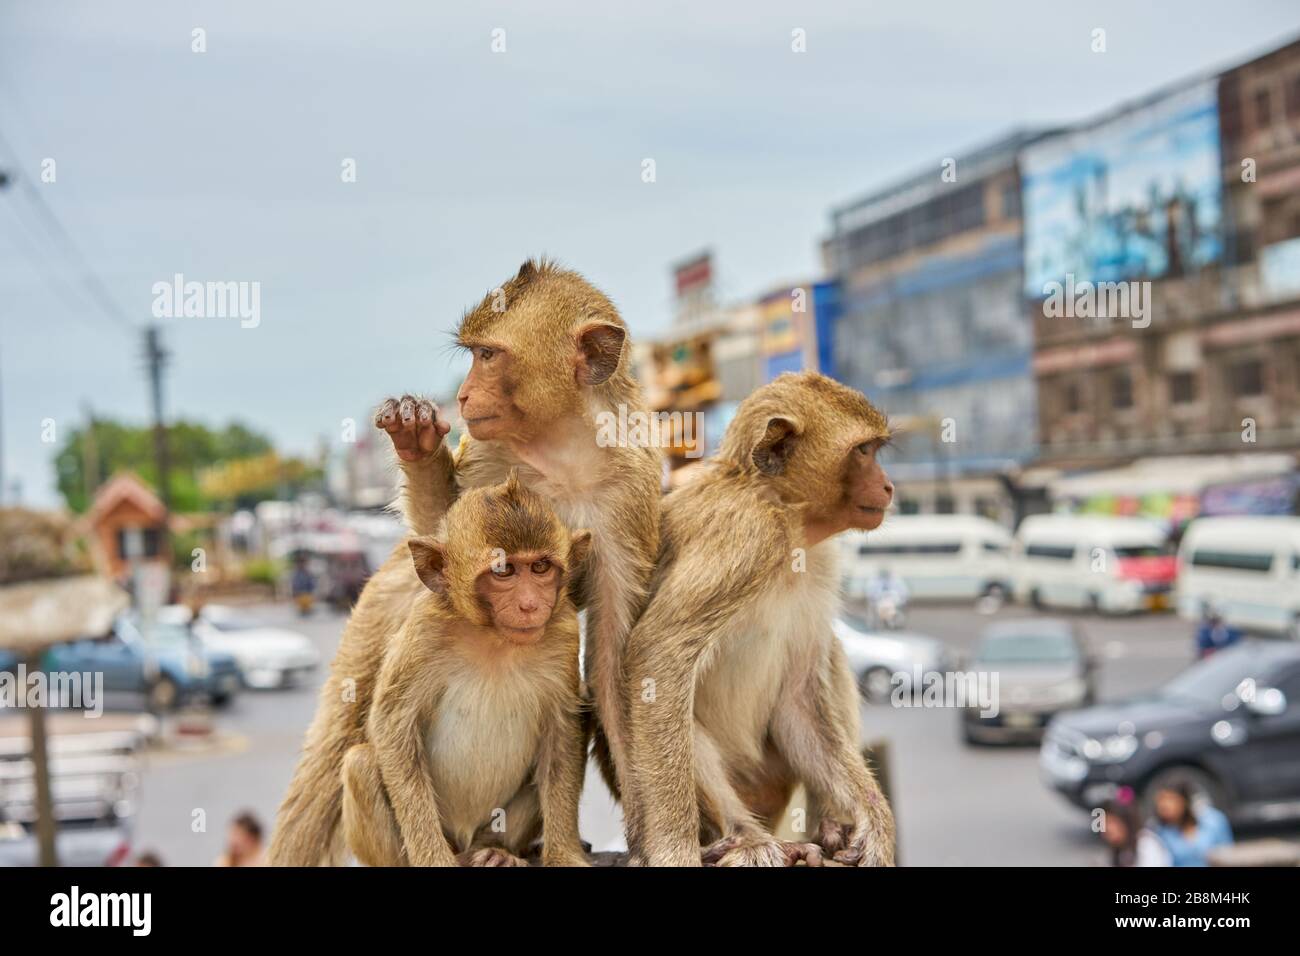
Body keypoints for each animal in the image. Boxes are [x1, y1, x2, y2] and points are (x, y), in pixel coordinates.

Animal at [340, 474, 592, 867]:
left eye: (540, 568)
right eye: (503, 571)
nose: (530, 605)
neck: (494, 639)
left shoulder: (563, 631)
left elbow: (563, 729)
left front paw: (564, 853)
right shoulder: (425, 630)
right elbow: (393, 724)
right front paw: (432, 859)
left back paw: (497, 852)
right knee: (361, 763)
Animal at [620, 371, 897, 867]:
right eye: (863, 452)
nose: (888, 487)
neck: (781, 506)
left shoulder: (822, 562)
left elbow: (800, 699)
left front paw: (875, 822)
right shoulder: (749, 536)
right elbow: (658, 655)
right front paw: (674, 849)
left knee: (830, 654)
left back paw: (828, 820)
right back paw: (745, 835)